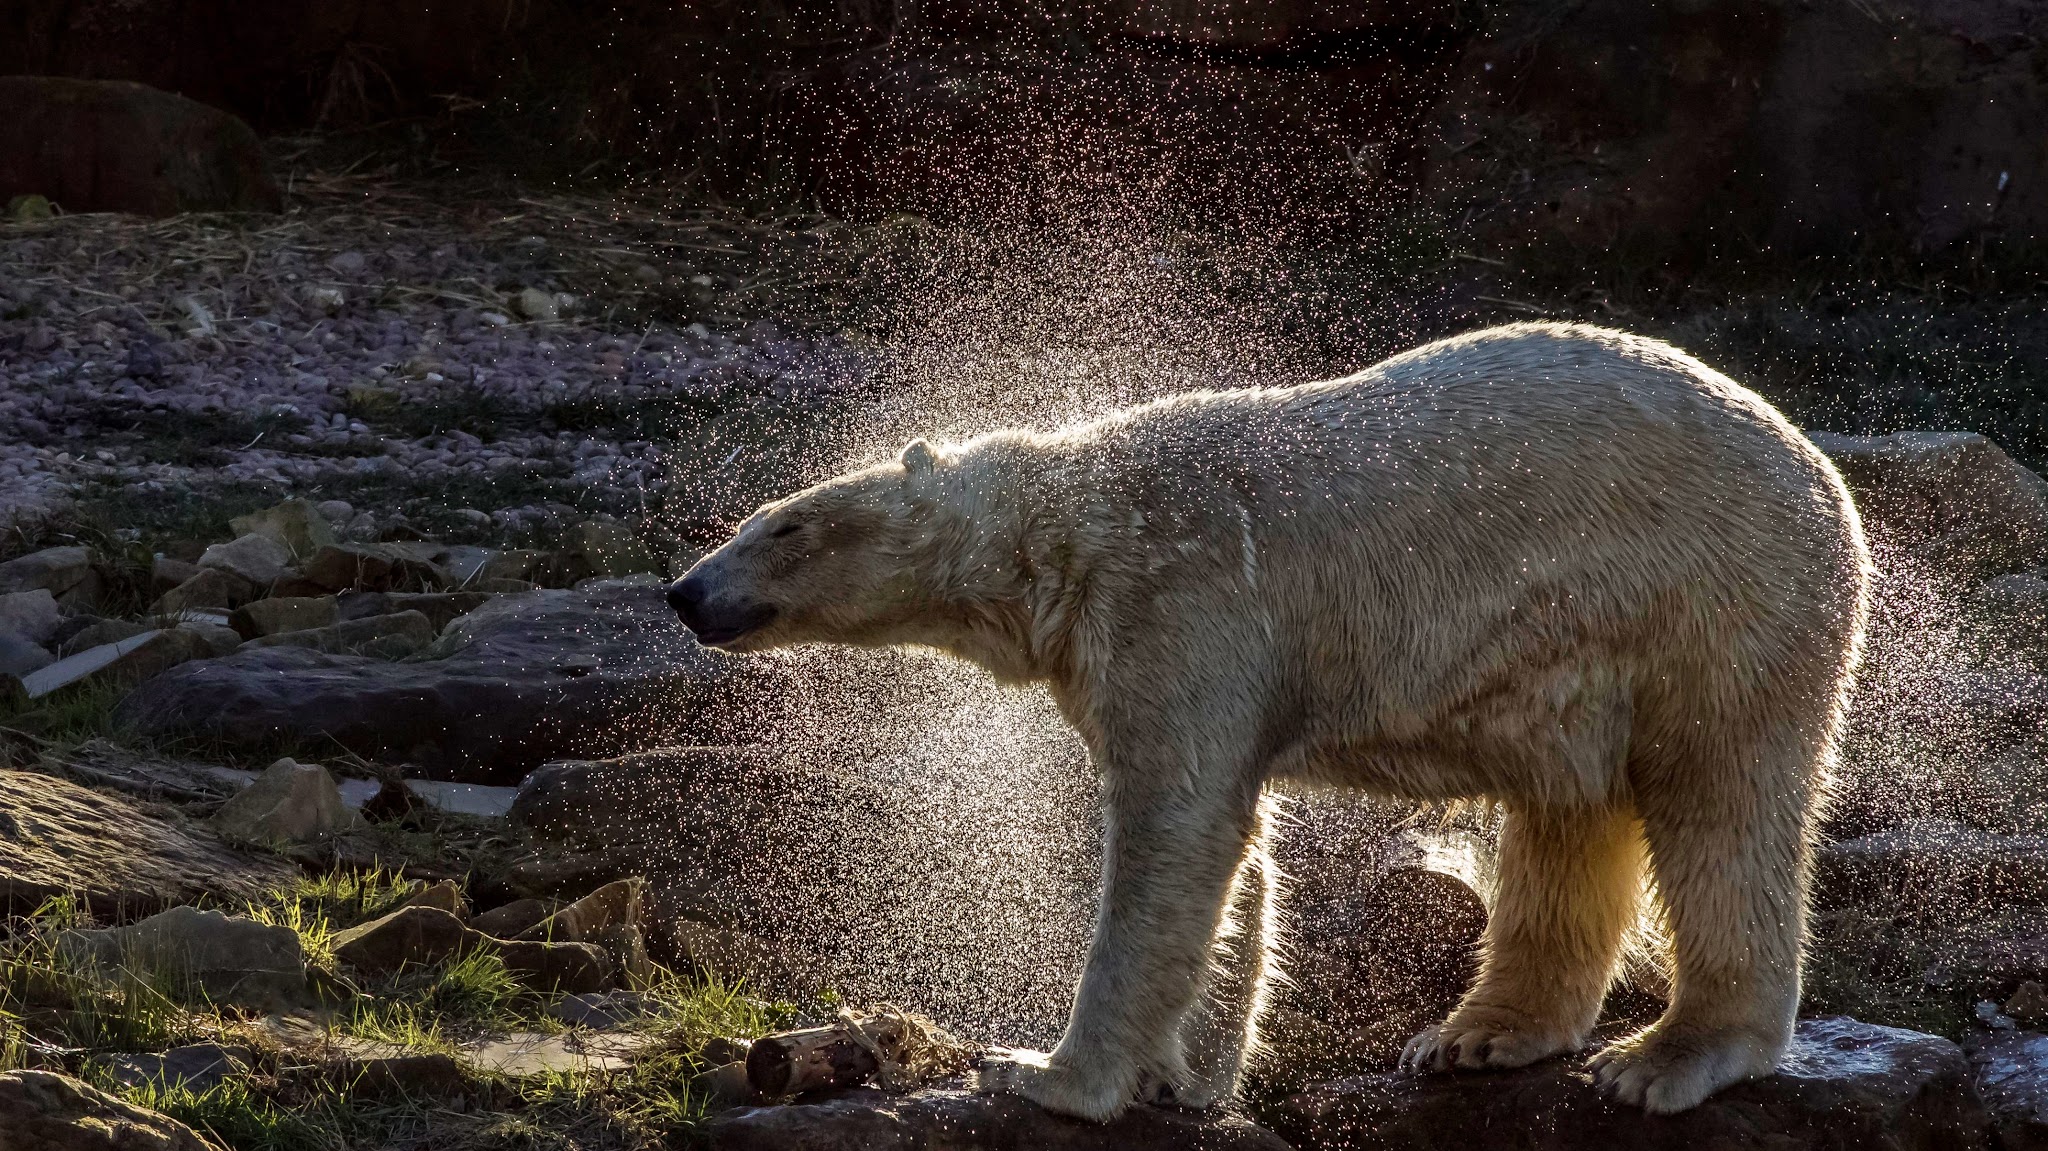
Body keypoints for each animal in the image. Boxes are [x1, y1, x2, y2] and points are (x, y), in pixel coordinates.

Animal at [667, 323, 1875, 1122]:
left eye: (783, 525)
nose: (684, 592)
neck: (1072, 532)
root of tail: (1828, 480)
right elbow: (1237, 847)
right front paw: (1190, 1074)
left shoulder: (1180, 600)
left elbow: (1174, 831)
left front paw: (1047, 1073)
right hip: (1592, 657)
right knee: (1570, 805)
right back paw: (1476, 1034)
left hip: (1716, 596)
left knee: (1720, 797)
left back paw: (1666, 1055)